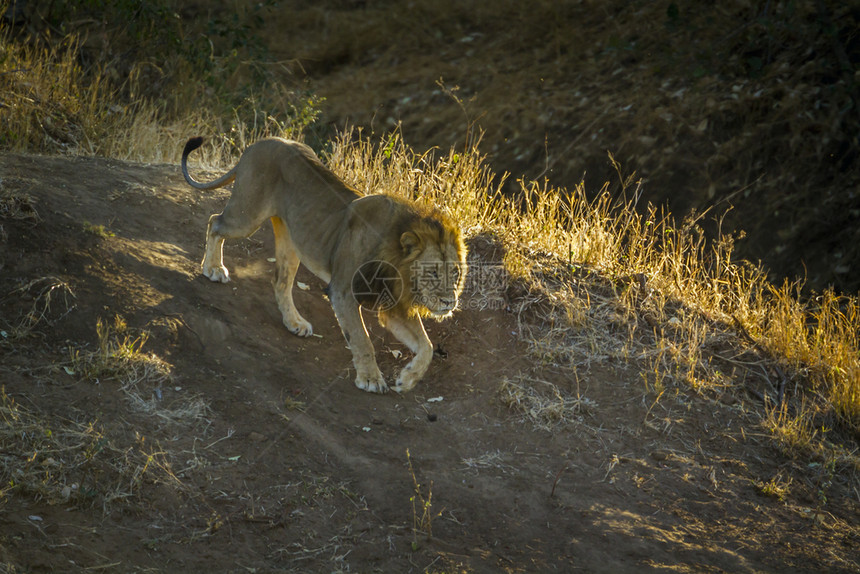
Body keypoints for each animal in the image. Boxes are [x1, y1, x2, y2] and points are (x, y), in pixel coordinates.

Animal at [178, 137, 466, 394]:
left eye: (455, 273)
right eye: (432, 272)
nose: (449, 302)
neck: (396, 262)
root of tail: (258, 143)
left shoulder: (393, 306)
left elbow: (427, 346)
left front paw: (407, 379)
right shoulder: (343, 291)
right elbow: (362, 340)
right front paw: (371, 379)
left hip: (291, 239)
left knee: (280, 281)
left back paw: (294, 322)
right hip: (246, 217)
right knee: (215, 221)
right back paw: (213, 269)